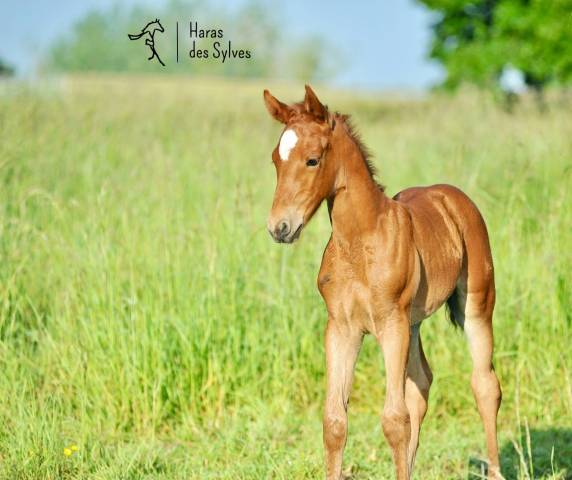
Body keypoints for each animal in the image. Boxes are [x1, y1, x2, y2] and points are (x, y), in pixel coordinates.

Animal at [262, 87, 500, 480]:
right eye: (275, 160)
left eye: (312, 160)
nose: (279, 228)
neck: (361, 243)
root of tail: (452, 196)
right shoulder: (341, 327)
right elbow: (335, 421)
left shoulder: (391, 324)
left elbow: (393, 419)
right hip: (414, 323)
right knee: (421, 384)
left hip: (475, 306)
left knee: (485, 385)